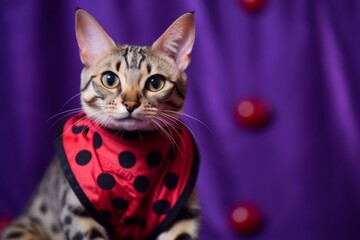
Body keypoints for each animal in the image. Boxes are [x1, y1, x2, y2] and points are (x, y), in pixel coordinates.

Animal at [0, 8, 200, 239]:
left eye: (155, 83)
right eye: (110, 79)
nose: (130, 103)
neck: (133, 154)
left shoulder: (182, 212)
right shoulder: (77, 210)